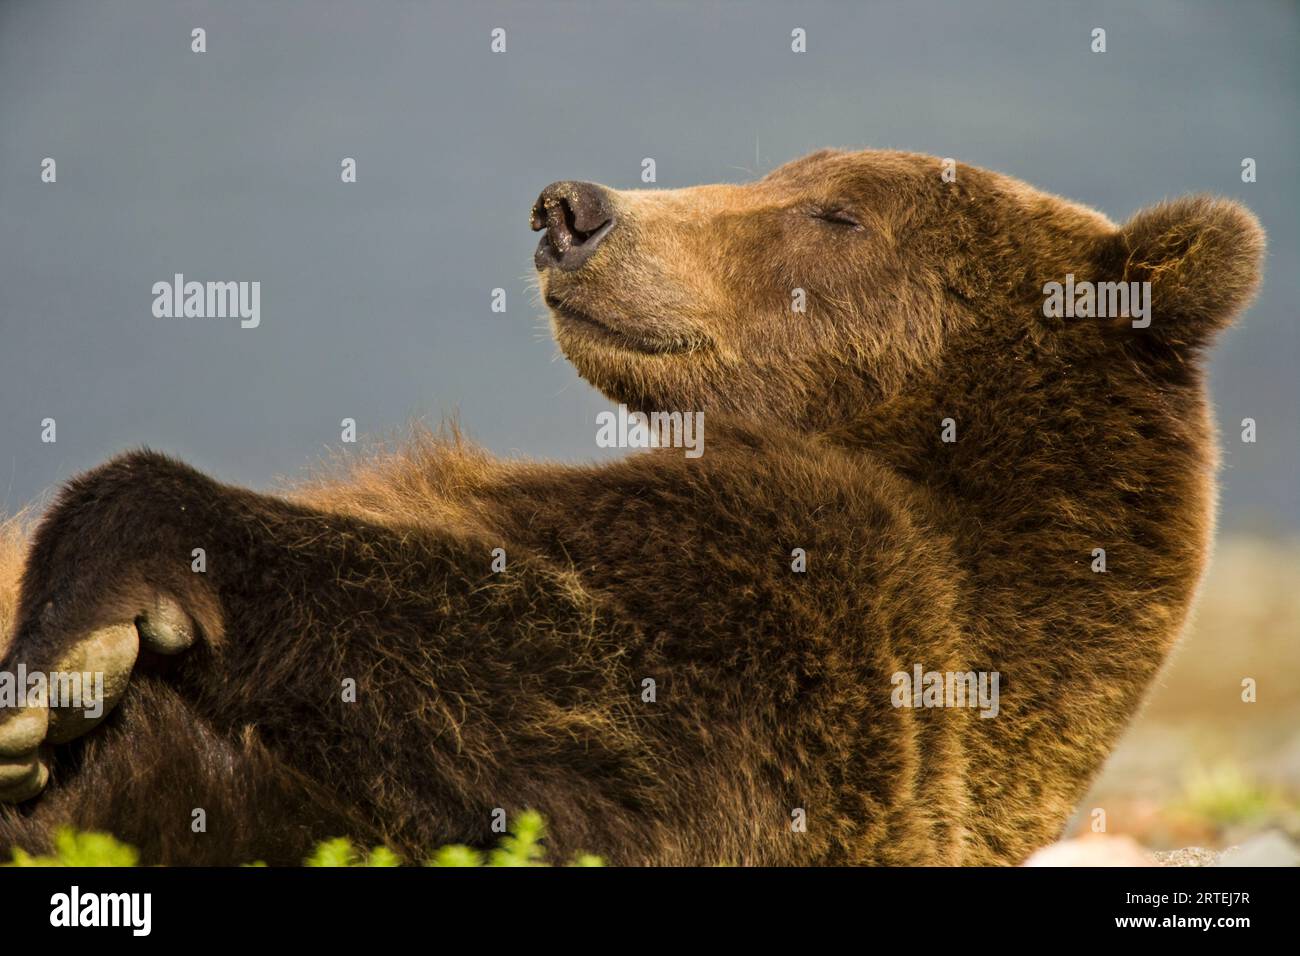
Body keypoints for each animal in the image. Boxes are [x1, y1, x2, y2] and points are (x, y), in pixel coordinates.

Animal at [0, 149, 1263, 868]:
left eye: (837, 212)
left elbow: (583, 719)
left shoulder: (839, 621)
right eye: (786, 171)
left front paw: (72, 652)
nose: (571, 208)